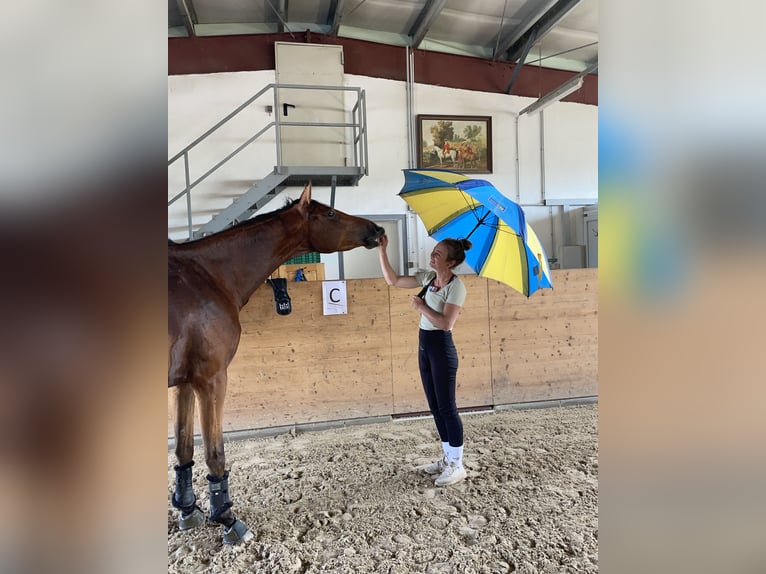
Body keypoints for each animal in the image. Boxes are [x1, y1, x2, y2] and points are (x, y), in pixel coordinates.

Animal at [168, 183, 384, 544]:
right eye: (330, 213)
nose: (377, 230)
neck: (208, 276)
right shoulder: (211, 379)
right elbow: (215, 453)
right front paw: (227, 518)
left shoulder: (183, 383)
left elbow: (184, 447)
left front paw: (187, 510)